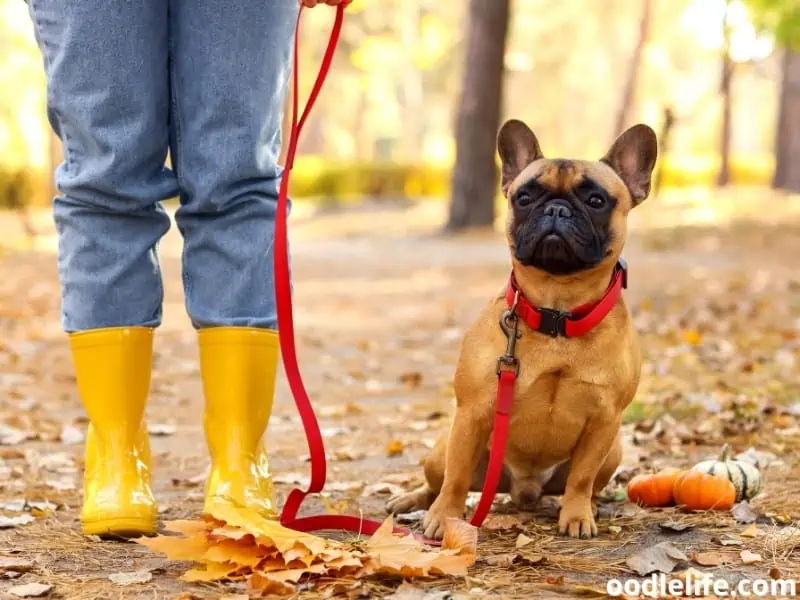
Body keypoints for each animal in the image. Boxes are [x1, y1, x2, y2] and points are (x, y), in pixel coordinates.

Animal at [388, 117, 656, 540]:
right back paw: (414, 501)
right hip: (442, 446)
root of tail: (523, 489)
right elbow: (456, 477)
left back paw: (591, 506)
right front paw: (444, 518)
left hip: (613, 451)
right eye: (525, 197)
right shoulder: (472, 413)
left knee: (588, 482)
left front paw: (577, 516)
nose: (557, 209)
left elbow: (582, 477)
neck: (558, 311)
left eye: (596, 201)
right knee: (439, 479)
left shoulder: (605, 421)